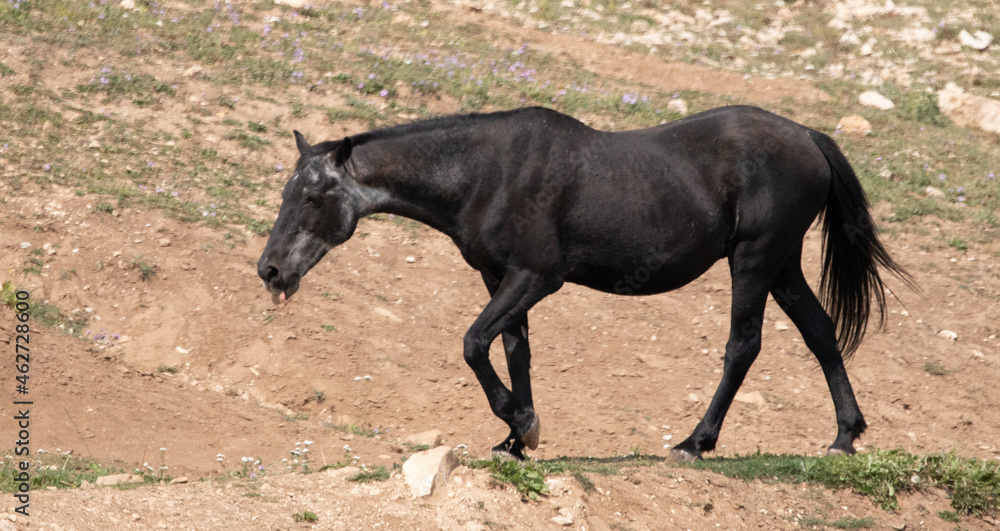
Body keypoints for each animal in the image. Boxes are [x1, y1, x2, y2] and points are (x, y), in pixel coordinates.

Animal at [257, 105, 911, 461]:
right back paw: (844, 435)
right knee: (821, 332)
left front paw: (522, 424)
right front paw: (516, 438)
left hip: (754, 259)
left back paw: (696, 441)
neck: (484, 173)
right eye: (287, 191)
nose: (270, 270)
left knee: (743, 346)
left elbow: (473, 344)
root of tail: (808, 136)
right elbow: (513, 352)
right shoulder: (499, 278)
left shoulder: (537, 277)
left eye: (312, 197)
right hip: (781, 265)